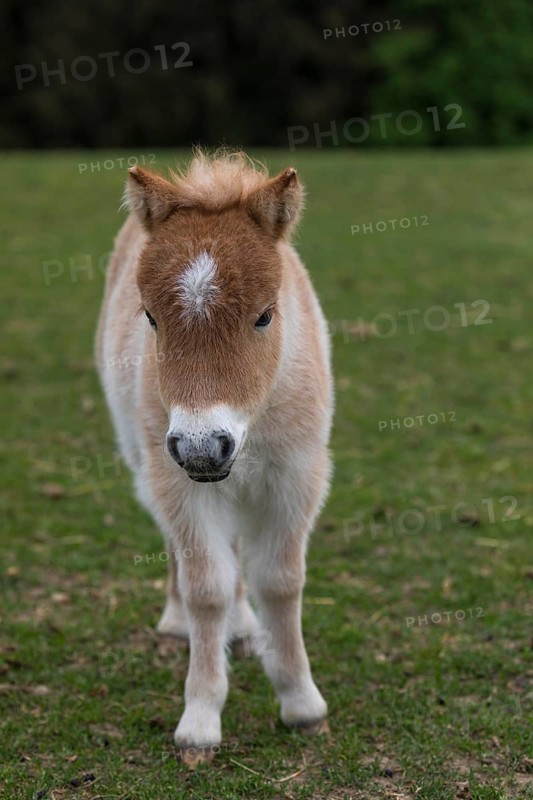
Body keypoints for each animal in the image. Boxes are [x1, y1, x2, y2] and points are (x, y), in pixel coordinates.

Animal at [95, 150, 334, 766]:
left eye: (265, 315)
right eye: (150, 317)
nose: (204, 447)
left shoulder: (296, 475)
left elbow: (280, 580)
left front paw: (302, 704)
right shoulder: (179, 479)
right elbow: (207, 586)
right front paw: (200, 721)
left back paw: (245, 629)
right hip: (148, 457)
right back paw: (180, 620)